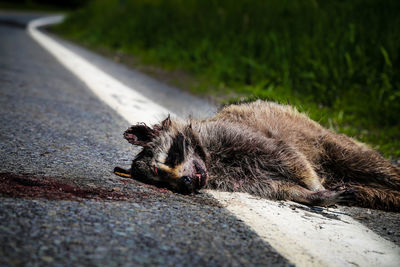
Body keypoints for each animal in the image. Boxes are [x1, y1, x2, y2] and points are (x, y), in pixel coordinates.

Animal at [113, 100, 400, 211]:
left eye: (171, 158)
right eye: (163, 181)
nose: (184, 183)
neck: (210, 159)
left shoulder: (239, 135)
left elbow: (290, 156)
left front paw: (315, 186)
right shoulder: (241, 178)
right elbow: (278, 186)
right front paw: (315, 195)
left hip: (327, 141)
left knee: (366, 163)